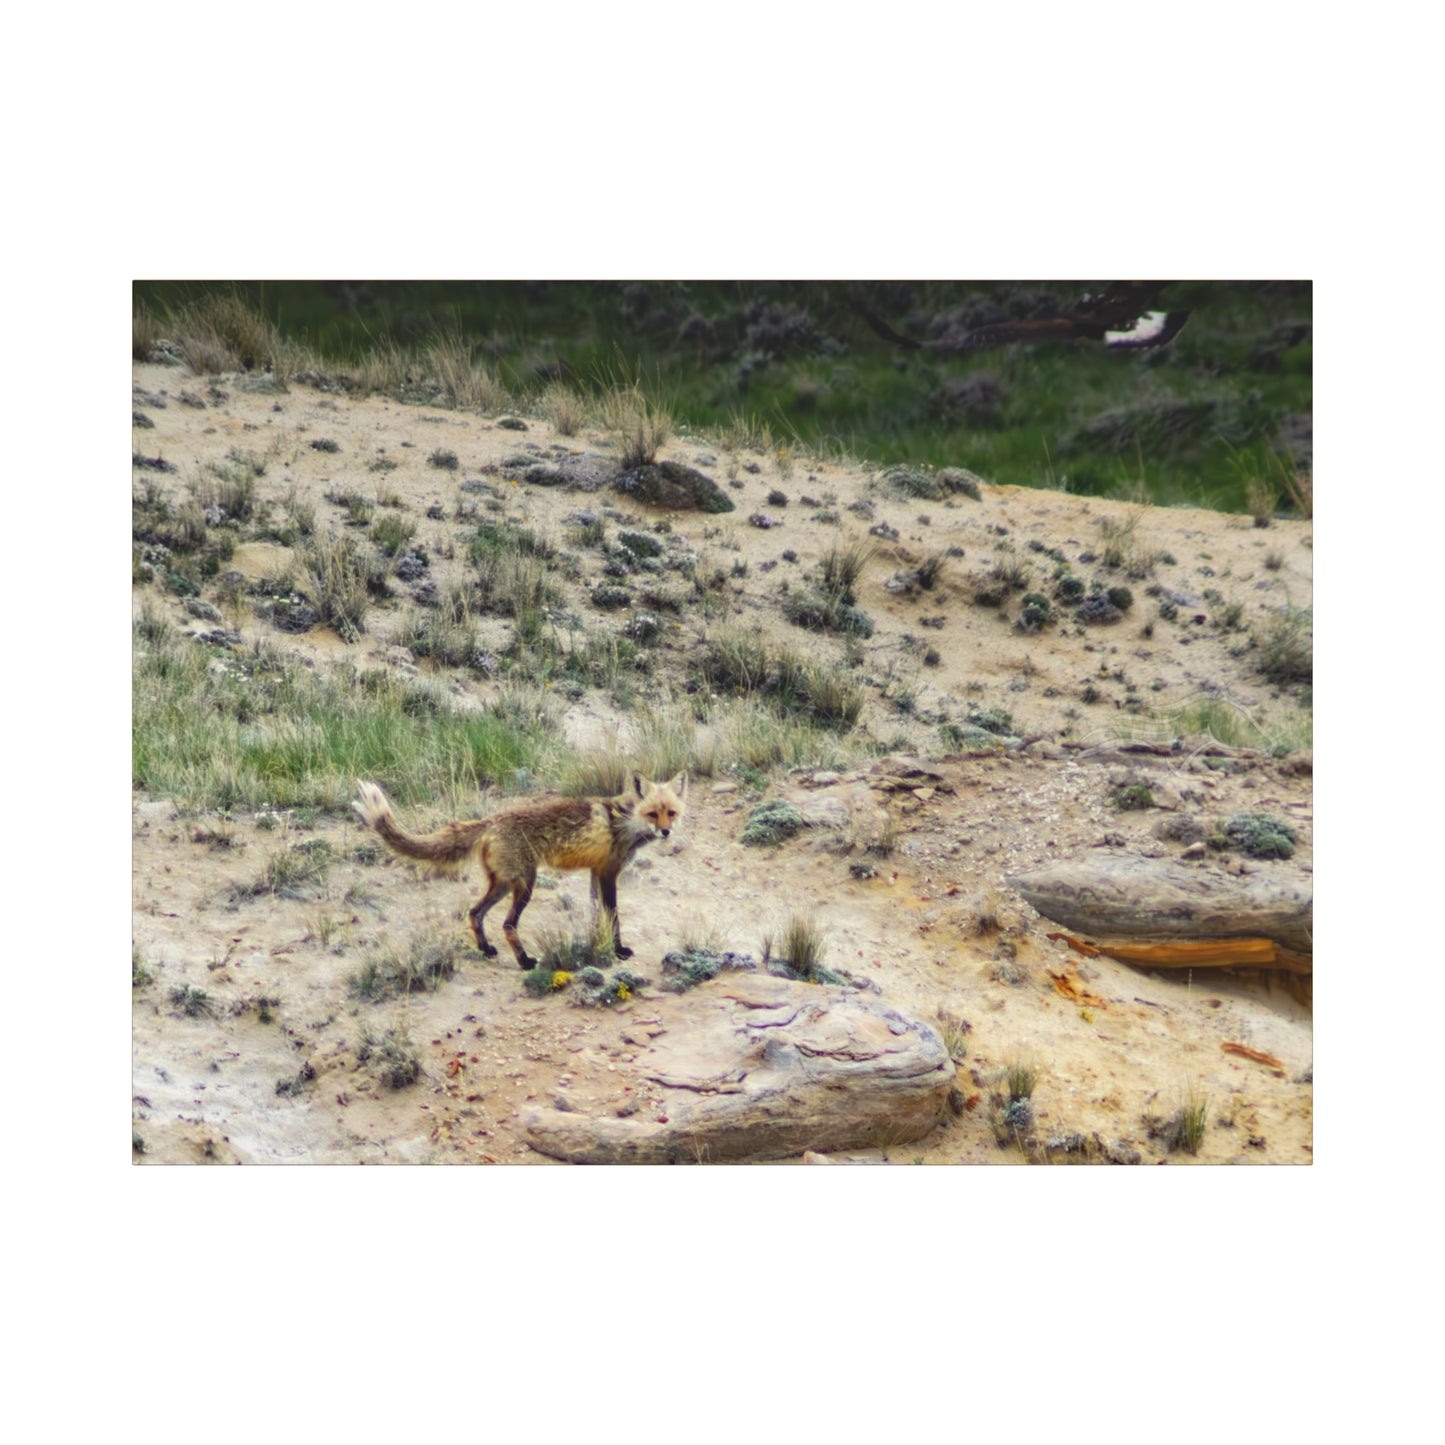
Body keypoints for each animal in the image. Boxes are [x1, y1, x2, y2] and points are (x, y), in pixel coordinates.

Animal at [352, 773, 687, 969]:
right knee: (507, 924)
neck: (625, 821)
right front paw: (618, 950)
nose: (666, 832)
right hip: (526, 884)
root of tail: (491, 820)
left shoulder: (595, 872)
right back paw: (525, 961)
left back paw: (486, 950)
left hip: (502, 884)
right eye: (652, 813)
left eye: (671, 812)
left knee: (475, 913)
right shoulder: (607, 873)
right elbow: (613, 915)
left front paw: (597, 945)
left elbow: (596, 915)